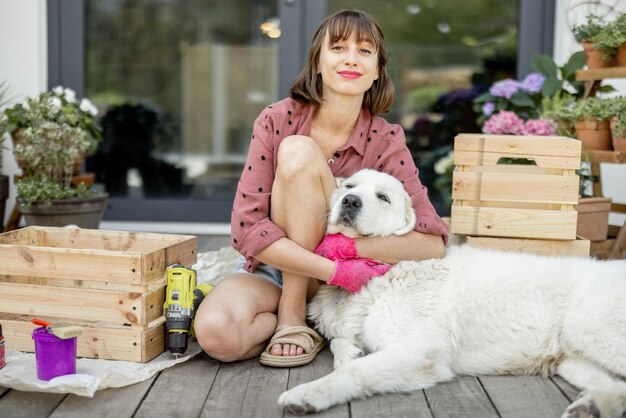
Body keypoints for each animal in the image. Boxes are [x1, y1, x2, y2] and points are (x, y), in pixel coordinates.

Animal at [278, 168, 624, 416]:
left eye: (383, 197)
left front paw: (308, 394)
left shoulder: (420, 350)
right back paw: (590, 407)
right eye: (349, 186)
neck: (385, 270)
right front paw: (348, 351)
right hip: (574, 359)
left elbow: (355, 371)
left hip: (590, 328)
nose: (350, 201)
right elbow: (341, 342)